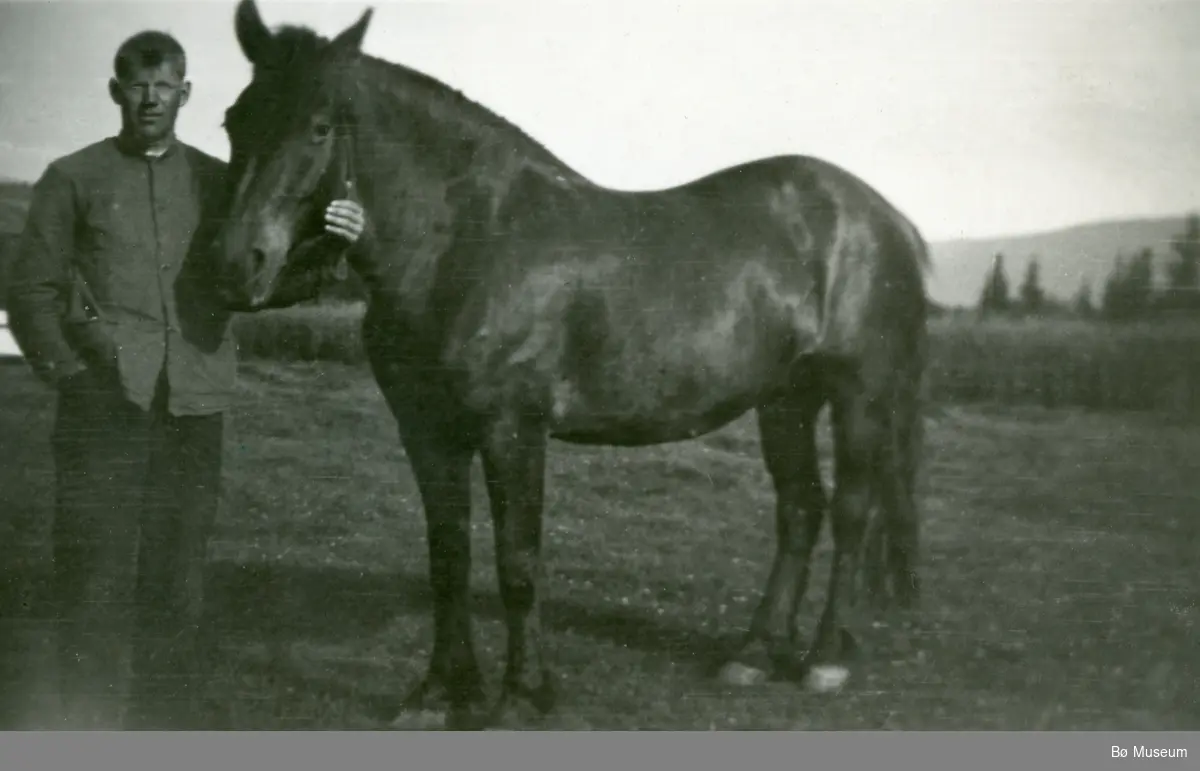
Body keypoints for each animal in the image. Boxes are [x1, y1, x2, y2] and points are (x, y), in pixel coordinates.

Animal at [213, 0, 926, 725]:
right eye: (234, 119)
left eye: (319, 128)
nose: (235, 266)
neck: (467, 243)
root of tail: (883, 217)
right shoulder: (426, 430)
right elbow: (448, 553)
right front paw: (441, 691)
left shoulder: (512, 429)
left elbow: (517, 561)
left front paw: (523, 696)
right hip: (786, 398)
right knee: (800, 508)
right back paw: (753, 653)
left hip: (859, 394)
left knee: (851, 511)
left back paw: (825, 658)